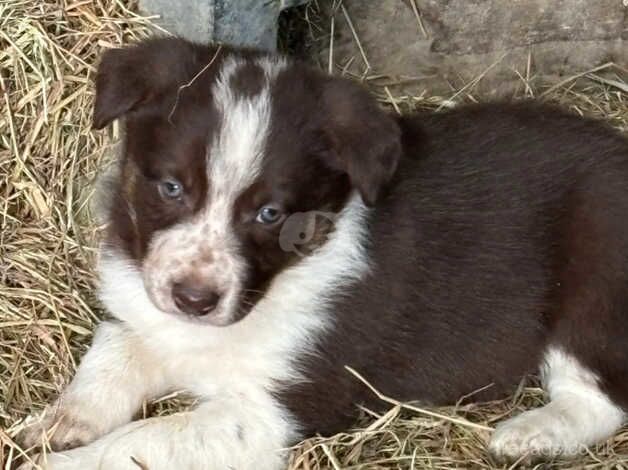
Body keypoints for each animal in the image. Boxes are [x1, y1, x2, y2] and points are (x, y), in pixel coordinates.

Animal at [19, 38, 628, 468]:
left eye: (270, 213)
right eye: (171, 187)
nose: (194, 300)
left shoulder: (269, 414)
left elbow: (142, 441)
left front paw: (57, 462)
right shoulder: (139, 312)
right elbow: (110, 361)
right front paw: (56, 423)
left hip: (595, 285)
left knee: (601, 398)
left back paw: (528, 434)